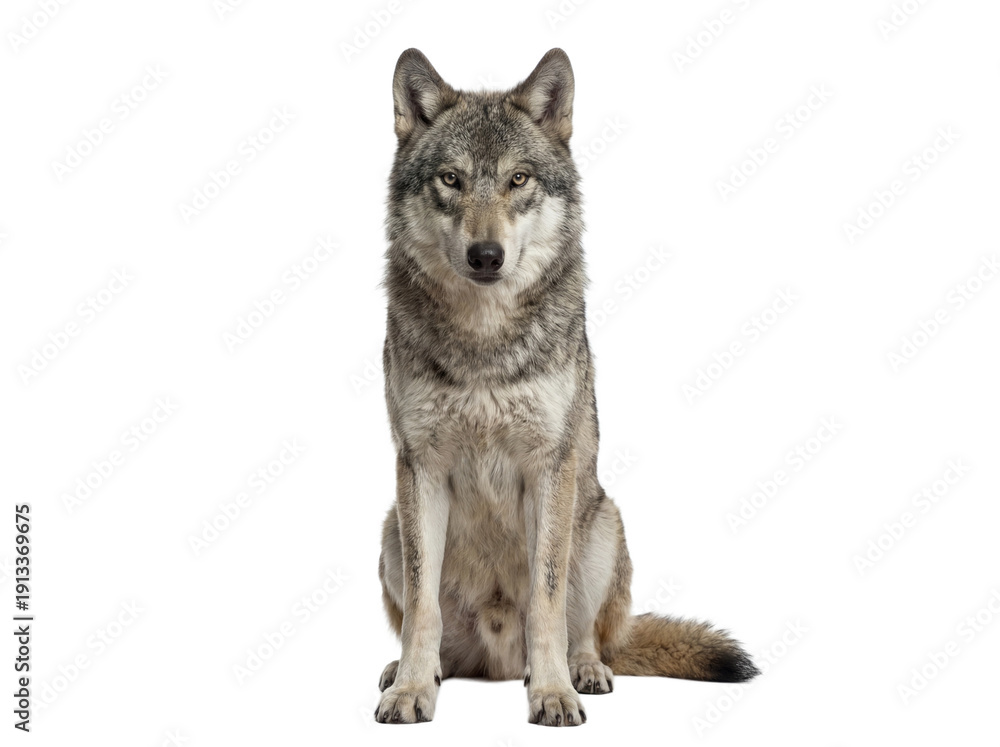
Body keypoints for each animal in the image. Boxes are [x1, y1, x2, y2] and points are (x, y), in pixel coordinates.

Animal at [375, 48, 758, 727]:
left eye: (519, 179)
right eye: (451, 180)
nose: (486, 255)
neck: (486, 340)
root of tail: (495, 665)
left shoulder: (548, 466)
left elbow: (547, 603)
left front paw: (553, 692)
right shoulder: (419, 467)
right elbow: (422, 609)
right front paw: (413, 690)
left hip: (601, 520)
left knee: (591, 633)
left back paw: (585, 671)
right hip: (391, 531)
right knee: (438, 633)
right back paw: (410, 670)